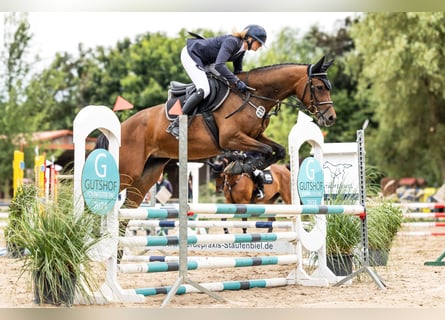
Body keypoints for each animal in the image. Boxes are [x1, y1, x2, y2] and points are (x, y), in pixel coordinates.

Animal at [96, 56, 332, 209]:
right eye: (320, 87)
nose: (330, 118)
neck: (252, 95)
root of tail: (121, 127)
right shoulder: (231, 138)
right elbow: (265, 151)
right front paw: (241, 165)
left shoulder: (254, 136)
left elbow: (278, 150)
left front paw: (241, 166)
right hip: (127, 170)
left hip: (148, 173)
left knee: (127, 209)